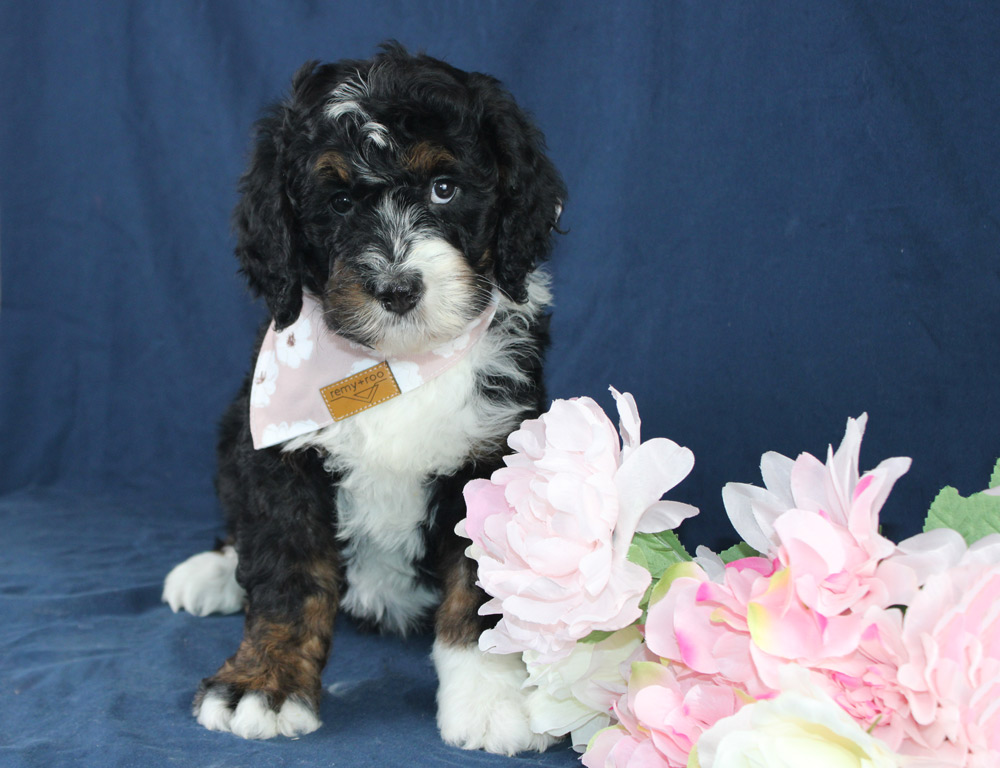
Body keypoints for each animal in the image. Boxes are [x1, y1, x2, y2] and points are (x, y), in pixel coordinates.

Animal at [162, 44, 565, 755]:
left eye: (444, 188)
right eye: (342, 201)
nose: (398, 288)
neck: (396, 364)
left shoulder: (493, 454)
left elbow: (479, 586)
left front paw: (493, 698)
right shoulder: (278, 456)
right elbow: (289, 575)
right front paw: (263, 682)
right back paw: (211, 572)